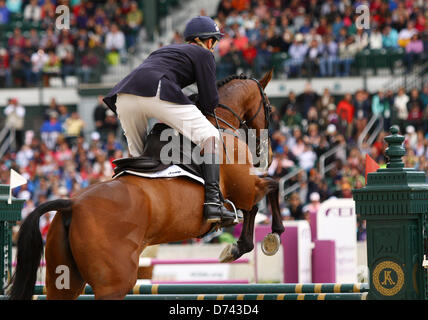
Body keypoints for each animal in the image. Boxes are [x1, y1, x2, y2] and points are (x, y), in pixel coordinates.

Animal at [7, 70, 284, 300]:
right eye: (269, 107)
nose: (268, 156)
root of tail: (70, 205)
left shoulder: (245, 190)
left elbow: (262, 197)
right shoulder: (246, 188)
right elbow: (271, 188)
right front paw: (267, 238)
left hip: (65, 281)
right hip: (114, 283)